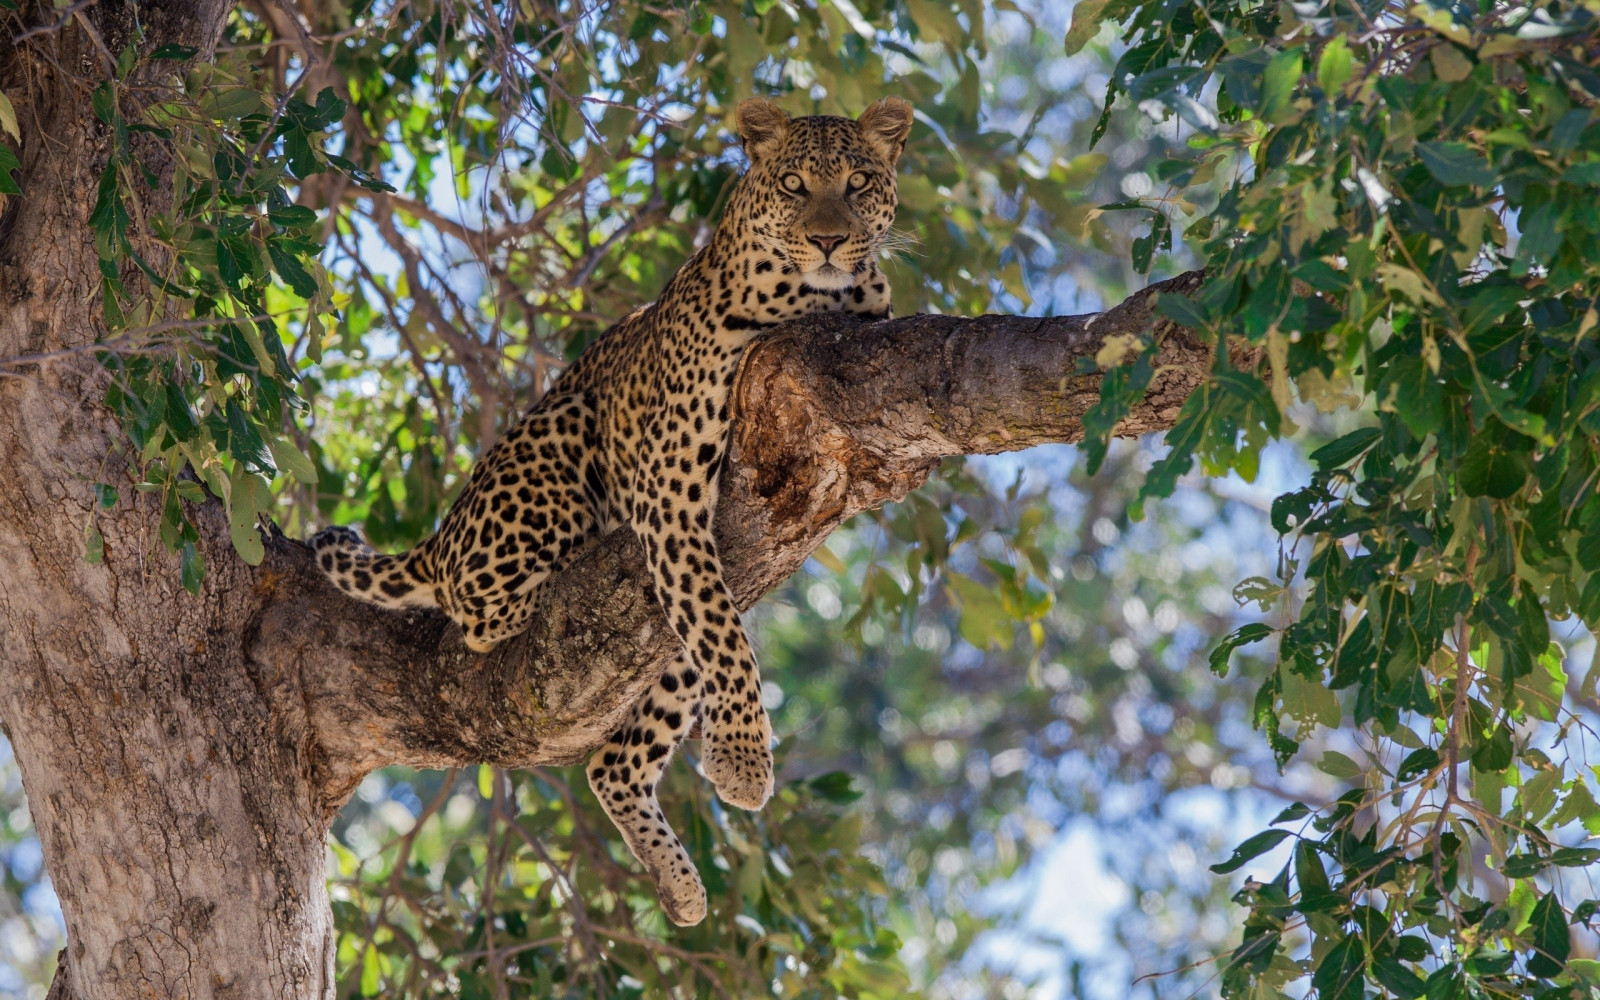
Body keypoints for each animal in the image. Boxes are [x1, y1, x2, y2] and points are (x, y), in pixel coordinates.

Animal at [310, 96, 913, 926]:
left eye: (857, 183)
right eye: (794, 185)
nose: (828, 239)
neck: (819, 298)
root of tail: (442, 532)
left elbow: (721, 636)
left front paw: (734, 761)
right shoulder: (668, 490)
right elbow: (728, 641)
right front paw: (743, 761)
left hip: (666, 640)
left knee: (615, 760)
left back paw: (678, 885)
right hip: (558, 451)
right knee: (481, 615)